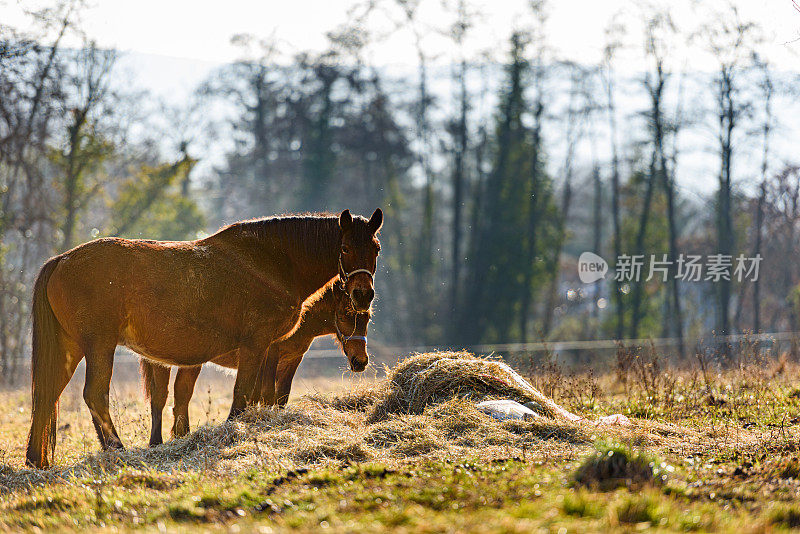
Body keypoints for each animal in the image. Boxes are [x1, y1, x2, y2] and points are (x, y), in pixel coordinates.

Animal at [141, 276, 372, 448]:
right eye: (344, 315)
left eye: (368, 317)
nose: (360, 362)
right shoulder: (269, 355)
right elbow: (264, 393)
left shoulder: (291, 360)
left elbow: (277, 395)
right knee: (165, 397)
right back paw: (160, 442)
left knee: (179, 395)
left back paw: (180, 436)